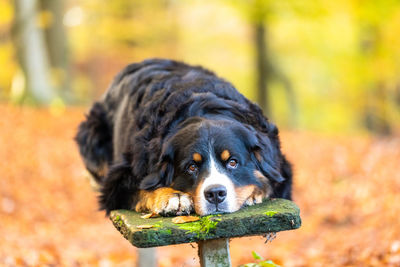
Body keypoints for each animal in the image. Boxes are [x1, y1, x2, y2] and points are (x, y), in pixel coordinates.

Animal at [76, 57, 294, 217]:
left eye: (233, 162)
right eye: (191, 167)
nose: (216, 193)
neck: (205, 109)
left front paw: (253, 193)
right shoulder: (118, 181)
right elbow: (141, 187)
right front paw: (174, 197)